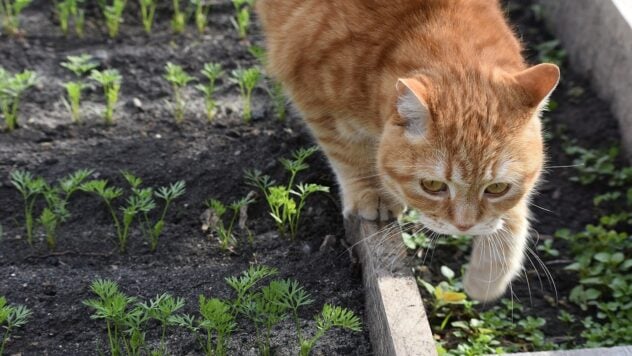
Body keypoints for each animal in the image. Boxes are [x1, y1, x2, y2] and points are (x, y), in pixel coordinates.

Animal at [254, 0, 560, 300]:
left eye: (497, 188)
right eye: (432, 186)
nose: (464, 226)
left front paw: (488, 275)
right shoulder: (314, 102)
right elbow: (348, 153)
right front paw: (371, 192)